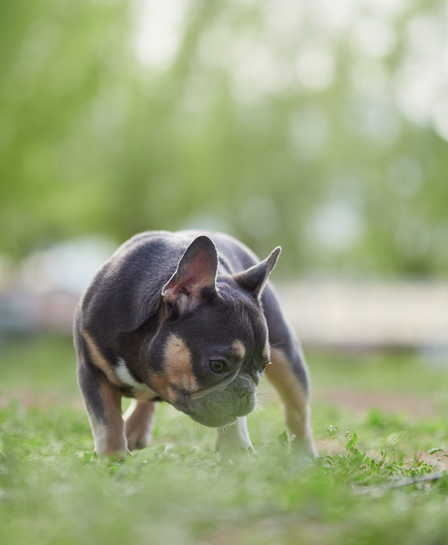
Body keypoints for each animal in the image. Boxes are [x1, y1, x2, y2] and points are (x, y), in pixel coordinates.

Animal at [73, 230, 316, 460]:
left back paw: (304, 456)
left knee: (298, 412)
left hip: (288, 359)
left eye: (263, 366)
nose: (247, 391)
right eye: (217, 365)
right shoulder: (92, 370)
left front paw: (235, 454)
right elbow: (107, 423)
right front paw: (113, 461)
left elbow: (233, 421)